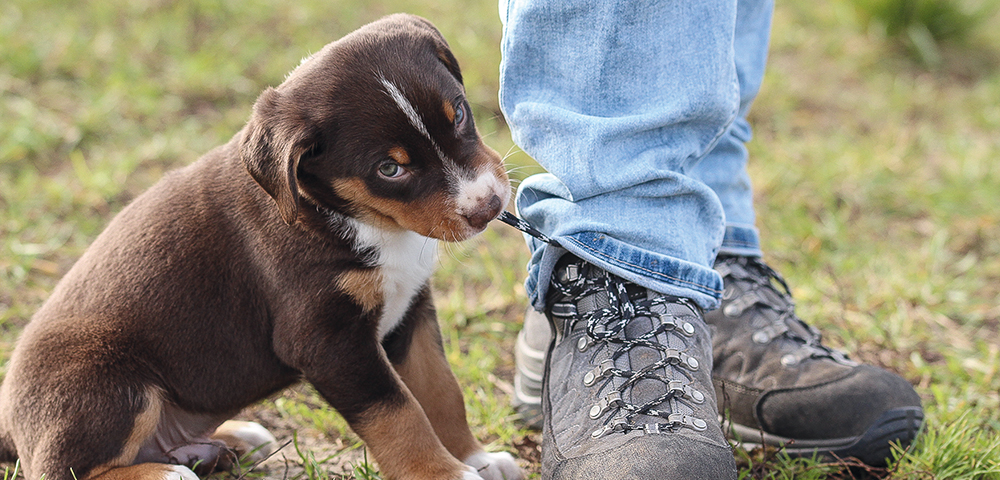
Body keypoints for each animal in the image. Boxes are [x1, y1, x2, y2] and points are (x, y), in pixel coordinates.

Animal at [1, 14, 524, 480]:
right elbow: (398, 413)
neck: (358, 220)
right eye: (389, 169)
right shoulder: (327, 340)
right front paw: (444, 474)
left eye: (459, 113)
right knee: (59, 469)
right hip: (108, 380)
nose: (487, 206)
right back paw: (166, 472)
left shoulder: (410, 310)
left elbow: (440, 390)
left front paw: (476, 459)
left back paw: (225, 443)